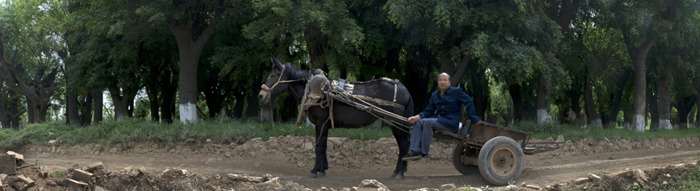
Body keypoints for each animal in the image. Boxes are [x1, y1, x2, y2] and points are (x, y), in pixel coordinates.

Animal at [258, 55, 412, 179]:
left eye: (274, 75)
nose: (261, 95)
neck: (318, 92)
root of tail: (404, 89)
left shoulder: (321, 123)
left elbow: (319, 147)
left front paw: (314, 171)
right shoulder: (323, 125)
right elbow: (323, 146)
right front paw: (322, 169)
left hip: (396, 122)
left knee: (404, 143)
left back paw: (399, 172)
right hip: (393, 123)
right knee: (402, 144)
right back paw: (398, 171)